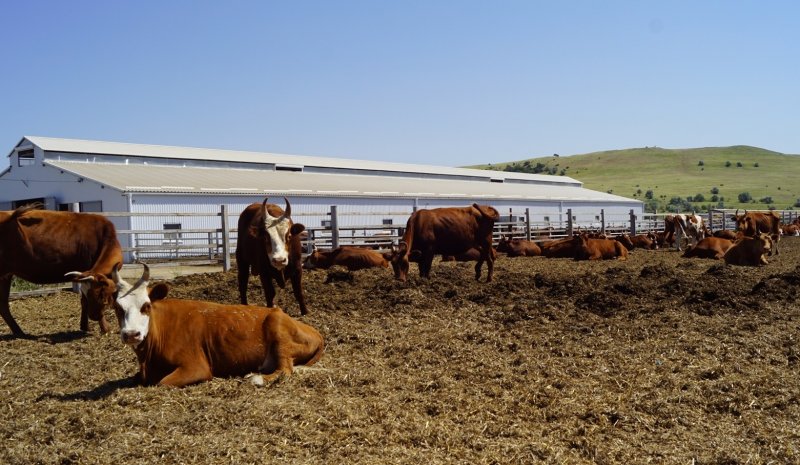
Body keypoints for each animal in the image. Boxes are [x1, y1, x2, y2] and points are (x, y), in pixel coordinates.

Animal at [0, 205, 122, 336]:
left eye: (101, 293)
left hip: (5, 275)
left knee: (3, 305)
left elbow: (83, 301)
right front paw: (105, 328)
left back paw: (19, 332)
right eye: (97, 293)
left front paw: (86, 326)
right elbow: (84, 301)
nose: (94, 316)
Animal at [112, 264, 324, 388]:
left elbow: (162, 383)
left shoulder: (196, 367)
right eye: (117, 307)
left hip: (278, 329)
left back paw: (257, 378)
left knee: (285, 369)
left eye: (146, 306)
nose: (131, 334)